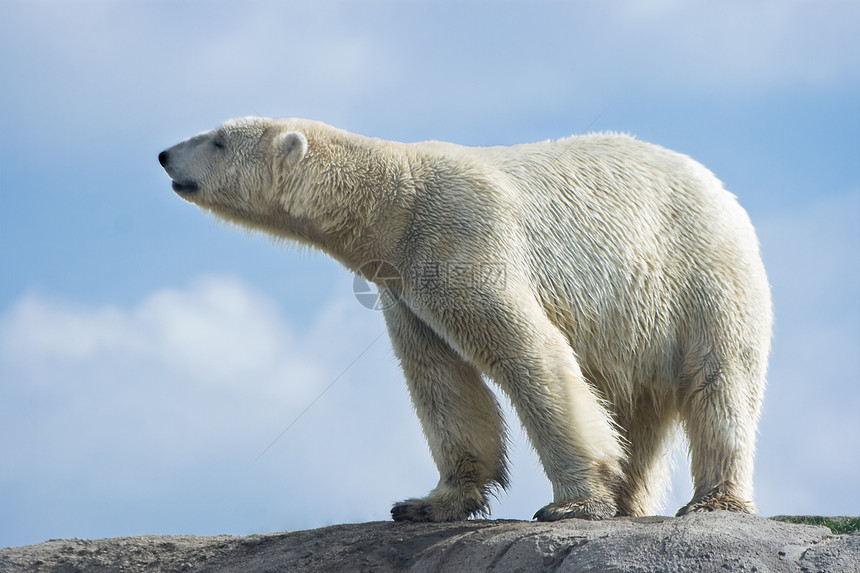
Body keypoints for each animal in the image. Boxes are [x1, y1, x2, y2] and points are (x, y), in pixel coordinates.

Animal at [158, 116, 768, 520]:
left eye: (217, 139)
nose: (164, 154)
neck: (394, 203)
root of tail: (717, 187)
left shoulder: (462, 235)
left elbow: (530, 352)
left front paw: (573, 505)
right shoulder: (403, 286)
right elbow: (441, 379)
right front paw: (428, 502)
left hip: (699, 275)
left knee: (720, 382)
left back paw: (714, 499)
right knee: (630, 406)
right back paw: (628, 498)